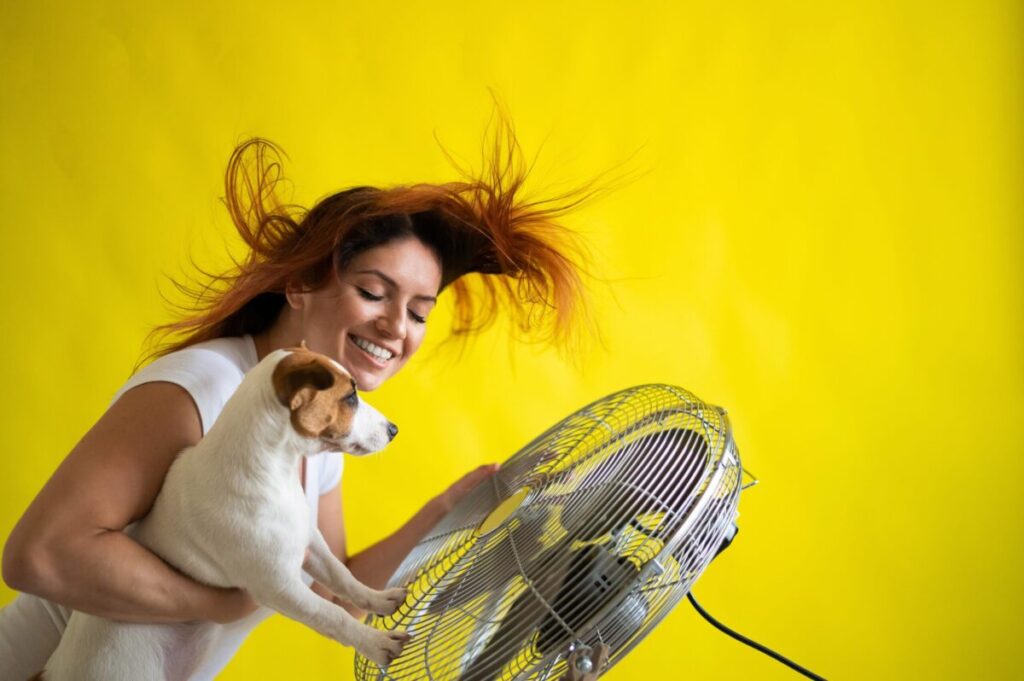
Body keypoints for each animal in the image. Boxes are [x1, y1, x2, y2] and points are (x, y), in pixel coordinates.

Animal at [37, 346, 411, 679]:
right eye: (350, 397)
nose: (394, 429)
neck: (272, 471)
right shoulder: (279, 586)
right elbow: (330, 615)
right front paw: (375, 642)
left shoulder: (310, 540)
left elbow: (342, 577)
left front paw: (380, 599)